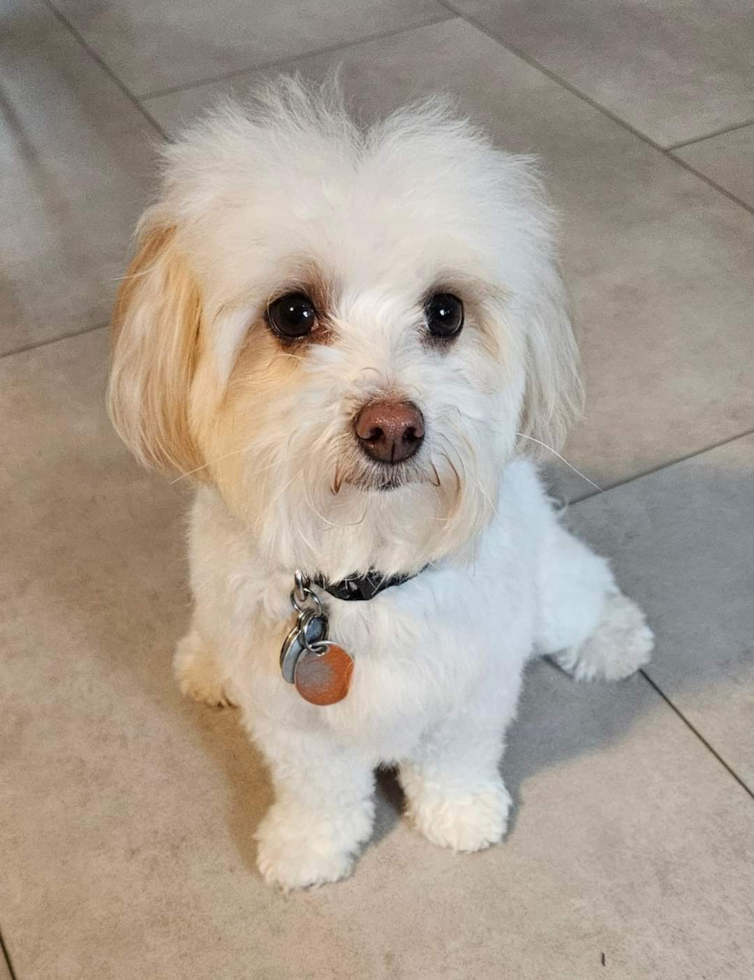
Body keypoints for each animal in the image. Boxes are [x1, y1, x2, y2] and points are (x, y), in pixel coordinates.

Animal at [107, 76, 652, 888]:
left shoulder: (474, 682)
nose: (394, 427)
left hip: (549, 591)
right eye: (292, 312)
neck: (368, 560)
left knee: (584, 586)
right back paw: (207, 664)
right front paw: (310, 843)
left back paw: (614, 638)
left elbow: (457, 755)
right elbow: (318, 783)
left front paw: (461, 814)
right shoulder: (292, 715)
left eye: (446, 311)